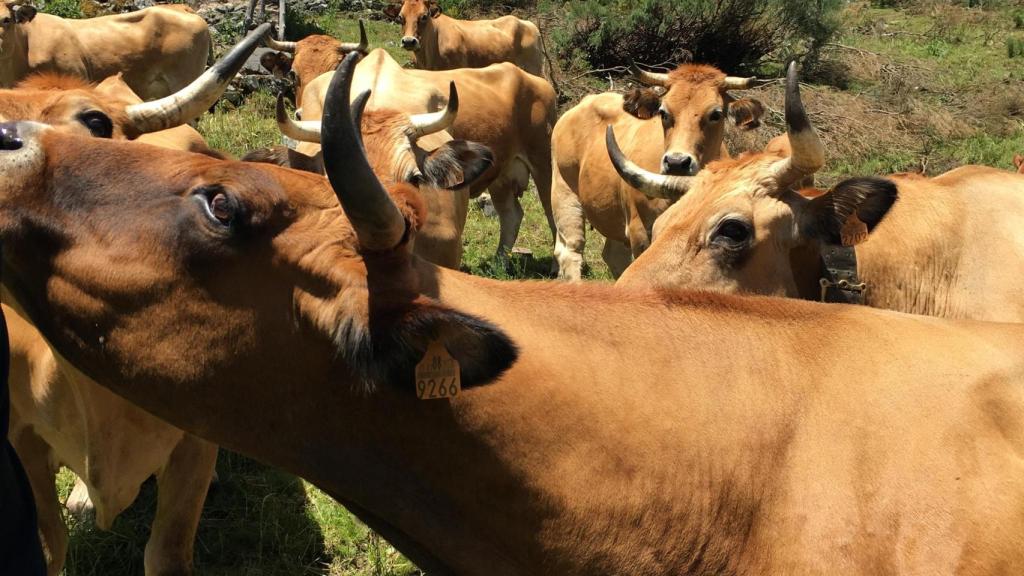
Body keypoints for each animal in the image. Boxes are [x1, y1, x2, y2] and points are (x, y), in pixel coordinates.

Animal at [551, 62, 765, 280]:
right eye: (663, 112)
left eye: (716, 114)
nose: (677, 162)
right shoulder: (640, 233)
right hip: (564, 192)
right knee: (571, 250)